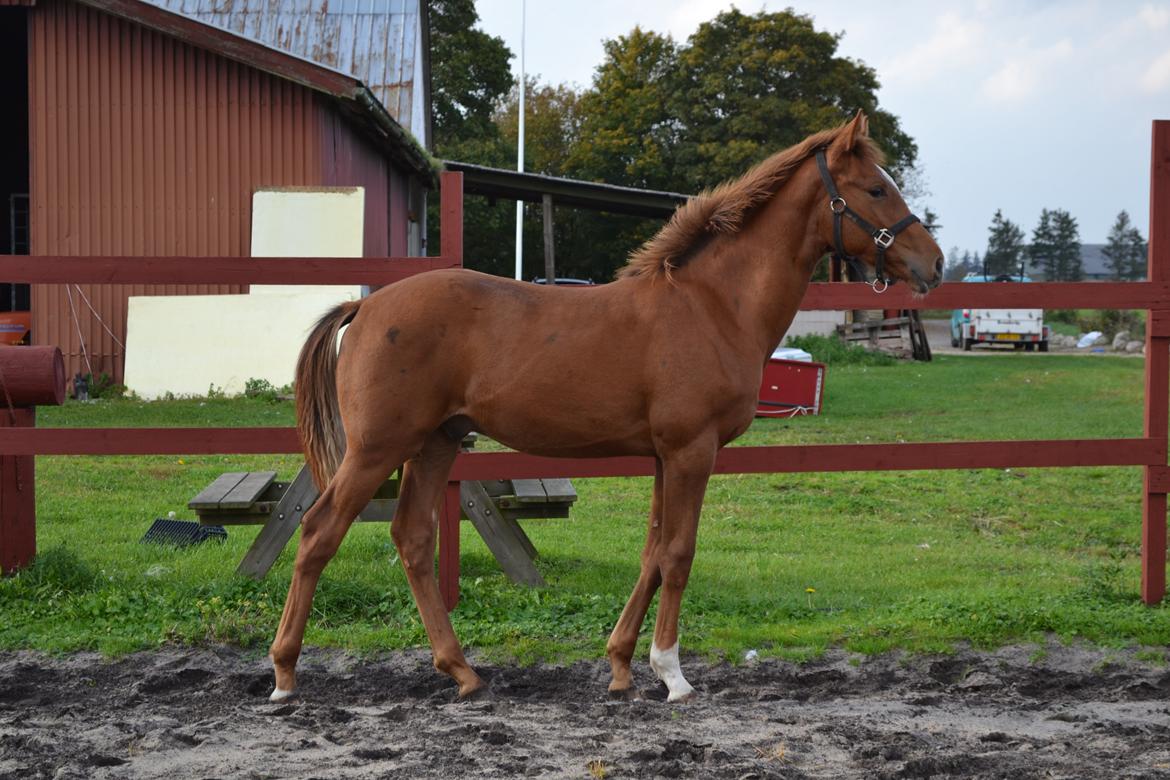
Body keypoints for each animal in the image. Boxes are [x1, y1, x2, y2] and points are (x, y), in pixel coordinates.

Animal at [269, 109, 945, 701]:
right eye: (875, 188)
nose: (934, 264)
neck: (712, 305)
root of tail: (365, 305)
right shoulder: (692, 451)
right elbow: (679, 554)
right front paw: (672, 674)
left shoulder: (663, 457)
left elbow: (652, 553)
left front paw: (621, 667)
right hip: (377, 448)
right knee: (319, 533)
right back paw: (284, 674)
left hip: (436, 443)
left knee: (412, 539)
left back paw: (462, 672)